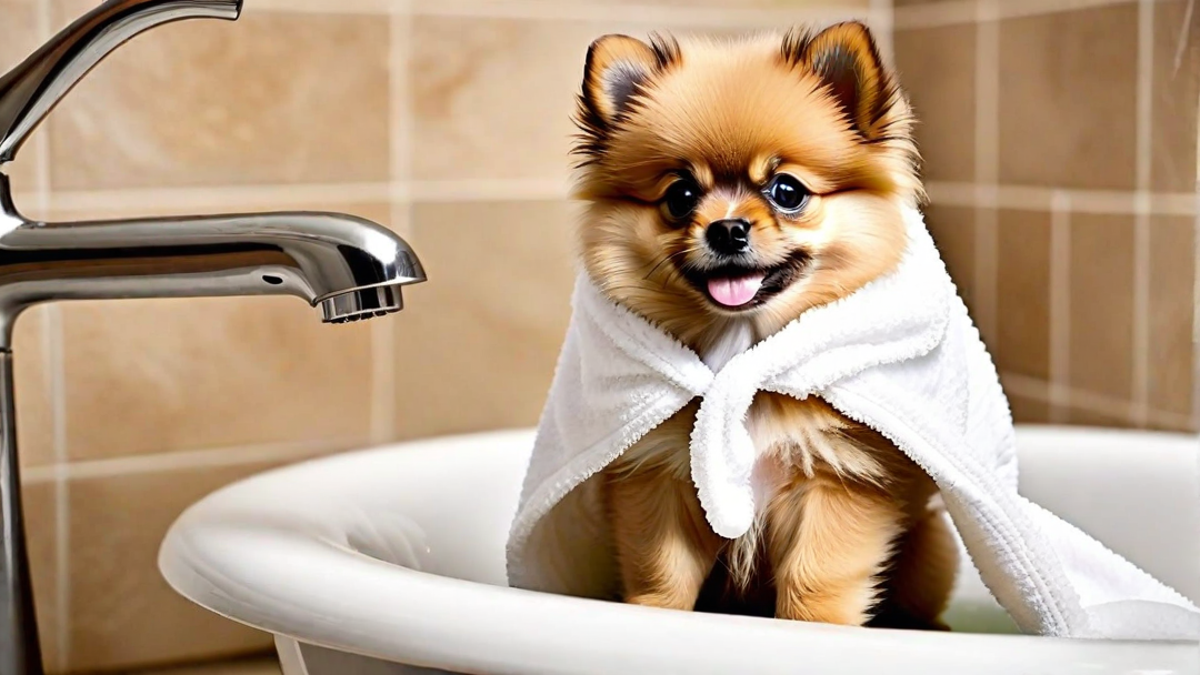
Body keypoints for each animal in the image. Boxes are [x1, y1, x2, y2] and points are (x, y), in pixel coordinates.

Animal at [568, 22, 955, 629]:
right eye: (680, 196)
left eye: (787, 191)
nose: (727, 229)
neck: (742, 351)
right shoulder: (661, 480)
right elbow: (662, 574)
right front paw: (654, 618)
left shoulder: (840, 477)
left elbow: (816, 580)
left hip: (930, 549)